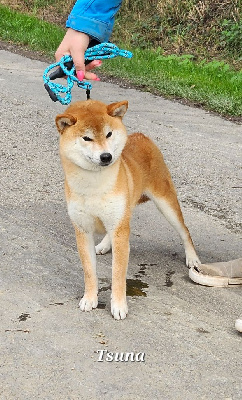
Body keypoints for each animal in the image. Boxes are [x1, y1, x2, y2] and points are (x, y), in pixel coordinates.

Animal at [55, 99, 199, 318]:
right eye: (87, 138)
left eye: (108, 134)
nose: (106, 156)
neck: (94, 184)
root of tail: (142, 136)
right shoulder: (83, 229)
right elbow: (89, 271)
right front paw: (89, 298)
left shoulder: (120, 229)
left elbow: (118, 273)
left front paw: (119, 305)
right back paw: (104, 245)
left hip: (165, 203)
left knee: (184, 231)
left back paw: (192, 258)